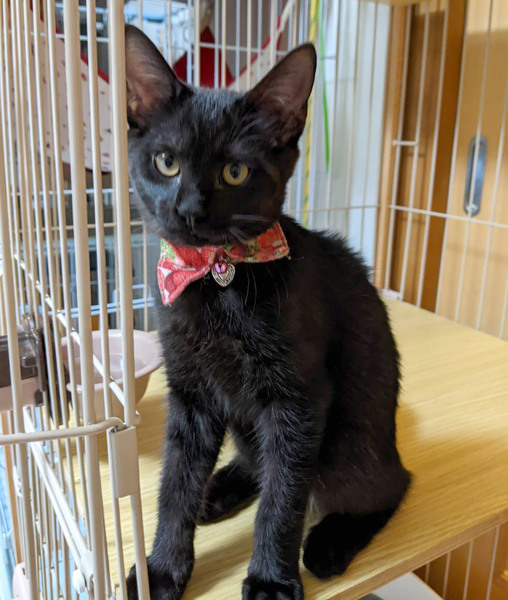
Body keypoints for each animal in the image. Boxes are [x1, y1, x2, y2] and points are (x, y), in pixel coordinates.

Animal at [124, 24, 410, 600]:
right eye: (167, 162)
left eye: (236, 172)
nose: (190, 209)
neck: (217, 281)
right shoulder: (190, 394)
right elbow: (175, 483)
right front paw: (161, 569)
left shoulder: (298, 402)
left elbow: (283, 499)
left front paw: (272, 581)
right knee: (255, 460)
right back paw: (220, 487)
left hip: (351, 447)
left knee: (386, 488)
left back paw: (328, 543)